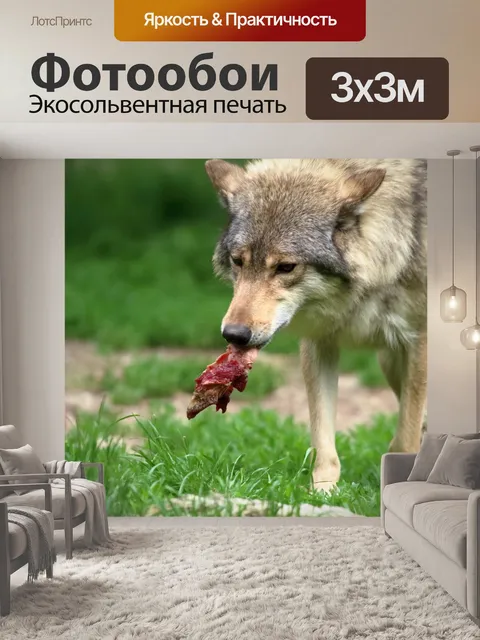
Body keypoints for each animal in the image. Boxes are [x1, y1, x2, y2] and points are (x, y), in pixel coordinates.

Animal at [205, 158, 427, 491]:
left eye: (286, 267)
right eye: (238, 261)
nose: (234, 334)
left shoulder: (419, 342)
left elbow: (407, 436)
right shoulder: (318, 343)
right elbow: (322, 436)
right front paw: (323, 491)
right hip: (388, 361)